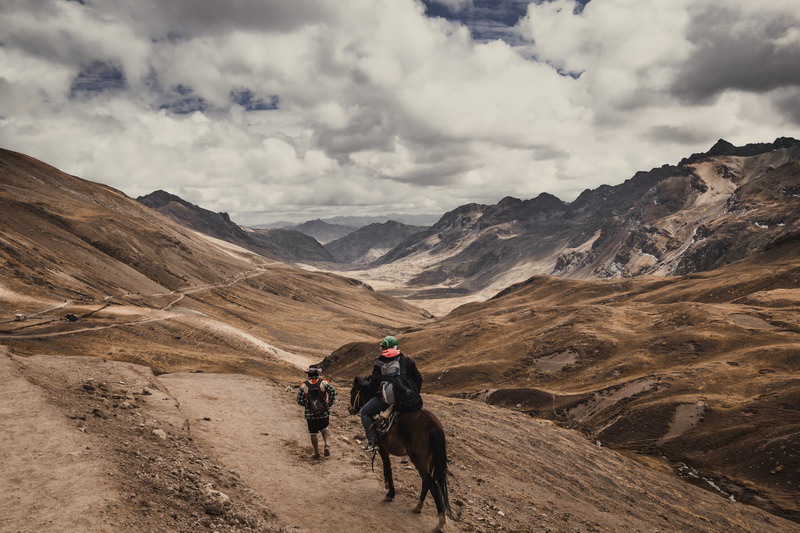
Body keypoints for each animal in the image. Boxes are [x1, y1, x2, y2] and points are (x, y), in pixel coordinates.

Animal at [348, 376, 454, 528]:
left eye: (352, 392)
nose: (350, 409)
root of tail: (432, 424)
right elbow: (387, 468)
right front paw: (387, 486)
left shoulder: (382, 448)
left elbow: (388, 467)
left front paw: (390, 493)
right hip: (430, 461)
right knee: (426, 482)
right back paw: (418, 507)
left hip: (419, 460)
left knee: (431, 484)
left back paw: (440, 522)